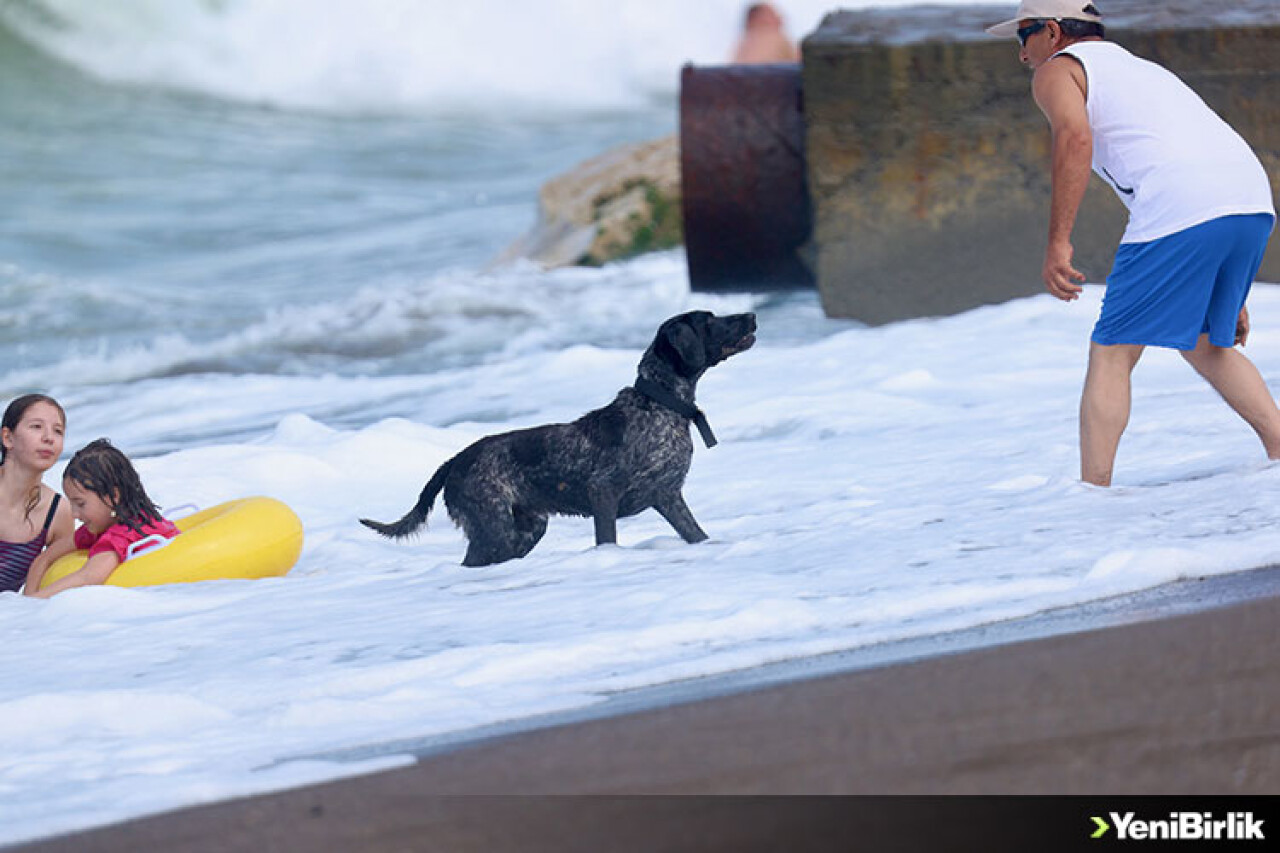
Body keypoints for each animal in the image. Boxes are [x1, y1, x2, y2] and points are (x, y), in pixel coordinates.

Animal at [360, 311, 752, 563]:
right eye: (709, 320)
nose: (750, 315)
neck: (660, 404)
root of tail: (454, 460)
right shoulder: (603, 494)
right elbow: (607, 540)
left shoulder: (668, 497)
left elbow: (698, 535)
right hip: (495, 532)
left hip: (527, 528)